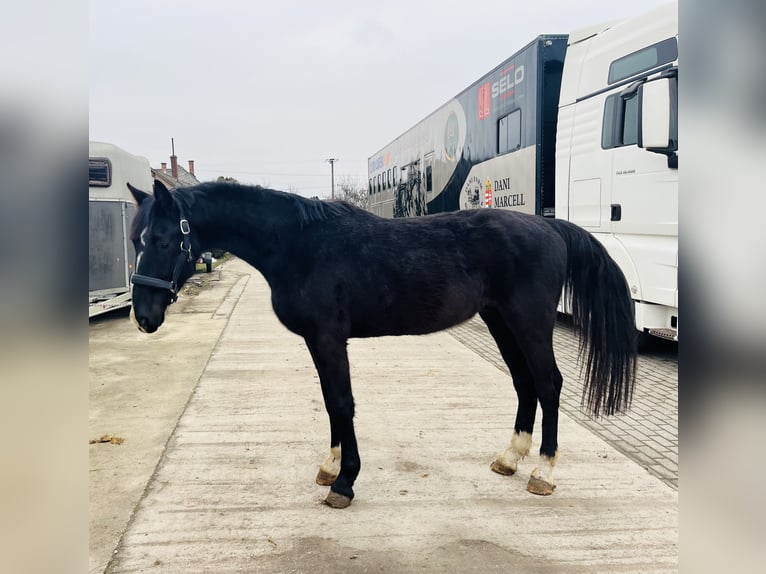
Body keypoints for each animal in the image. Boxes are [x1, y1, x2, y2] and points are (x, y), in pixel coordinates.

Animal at [127, 179, 636, 509]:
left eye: (165, 239)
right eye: (137, 239)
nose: (145, 317)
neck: (299, 244)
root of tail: (550, 228)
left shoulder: (330, 339)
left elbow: (342, 402)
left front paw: (345, 483)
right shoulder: (319, 341)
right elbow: (330, 403)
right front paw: (331, 466)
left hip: (528, 322)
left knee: (548, 384)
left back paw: (543, 473)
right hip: (500, 321)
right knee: (523, 383)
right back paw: (509, 459)